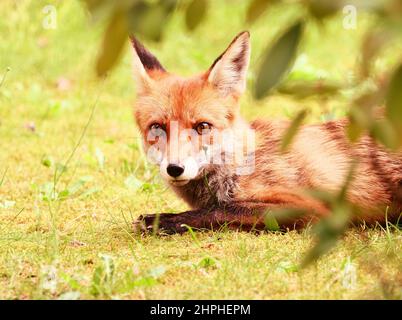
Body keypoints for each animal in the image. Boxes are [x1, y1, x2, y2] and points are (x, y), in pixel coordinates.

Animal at [130, 31, 402, 234]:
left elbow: (222, 210)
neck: (239, 165)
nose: (174, 169)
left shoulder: (315, 208)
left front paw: (164, 220)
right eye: (157, 127)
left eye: (203, 126)